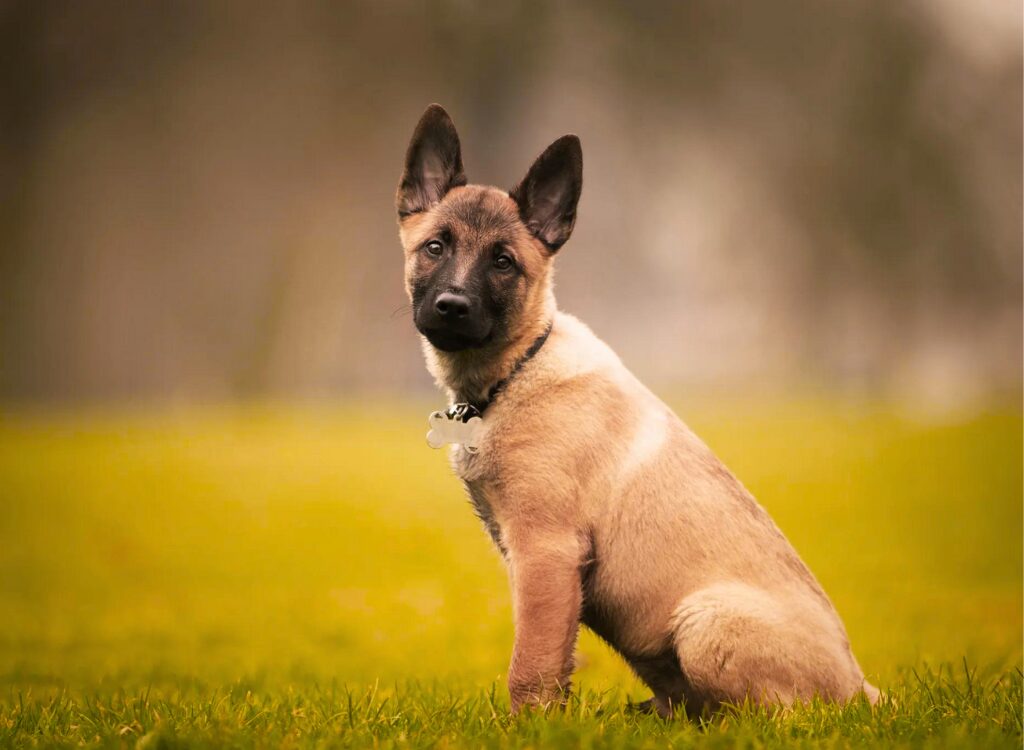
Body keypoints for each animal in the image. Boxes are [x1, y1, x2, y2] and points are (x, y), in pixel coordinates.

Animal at [395, 105, 876, 713]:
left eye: (503, 263)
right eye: (435, 247)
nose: (451, 306)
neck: (518, 368)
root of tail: (861, 688)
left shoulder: (546, 552)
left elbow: (531, 663)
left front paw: (532, 723)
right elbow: (550, 656)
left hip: (704, 624)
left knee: (771, 715)